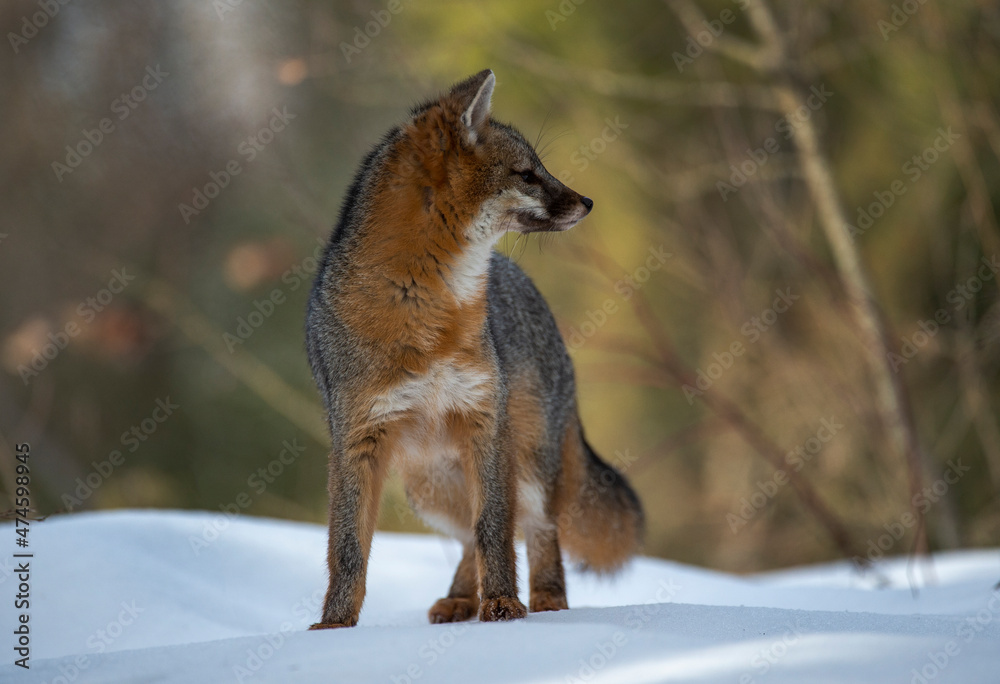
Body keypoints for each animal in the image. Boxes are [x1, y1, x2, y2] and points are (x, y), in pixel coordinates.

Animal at [306, 69, 644, 629]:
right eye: (527, 175)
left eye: (540, 169)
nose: (588, 202)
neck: (427, 315)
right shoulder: (357, 441)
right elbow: (347, 547)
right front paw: (334, 625)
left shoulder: (485, 420)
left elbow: (496, 527)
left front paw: (504, 603)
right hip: (430, 486)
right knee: (467, 533)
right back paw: (462, 598)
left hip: (523, 464)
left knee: (536, 525)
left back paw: (547, 600)